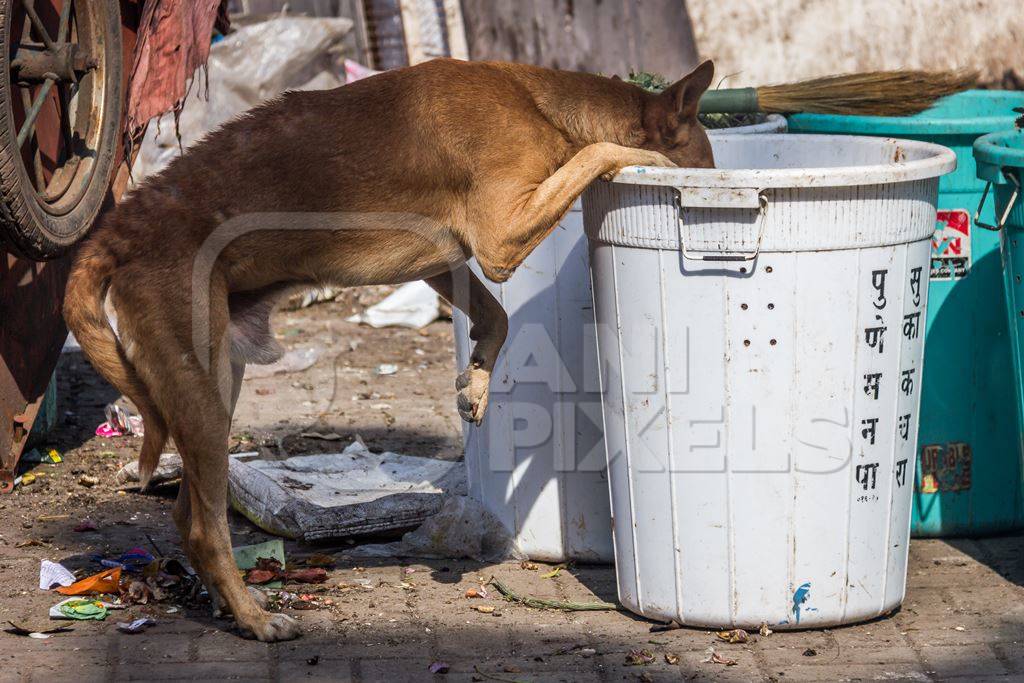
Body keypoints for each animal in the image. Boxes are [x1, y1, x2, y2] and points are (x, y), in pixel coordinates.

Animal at [64, 58, 716, 643]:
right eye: (707, 162)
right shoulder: (499, 237)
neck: (543, 106)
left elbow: (499, 318)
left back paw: (230, 605)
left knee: (187, 514)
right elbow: (600, 152)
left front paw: (476, 382)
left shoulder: (447, 259)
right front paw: (646, 161)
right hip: (199, 385)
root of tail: (116, 231)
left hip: (220, 381)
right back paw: (256, 619)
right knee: (203, 530)